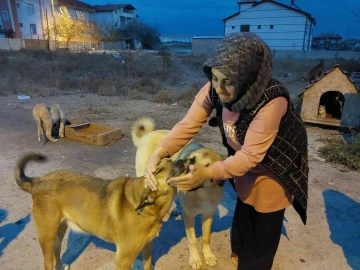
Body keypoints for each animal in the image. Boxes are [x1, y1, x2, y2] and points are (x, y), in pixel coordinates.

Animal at [14, 154, 186, 270]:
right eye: (158, 170)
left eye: (169, 161)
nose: (182, 161)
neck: (150, 209)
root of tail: (37, 182)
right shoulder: (124, 258)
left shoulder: (148, 246)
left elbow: (148, 265)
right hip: (47, 234)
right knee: (47, 262)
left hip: (59, 228)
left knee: (57, 248)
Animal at [131, 117, 224, 268]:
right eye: (190, 160)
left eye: (205, 168)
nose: (181, 166)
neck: (203, 194)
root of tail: (148, 134)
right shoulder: (189, 215)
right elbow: (192, 239)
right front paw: (195, 259)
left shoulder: (208, 213)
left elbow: (206, 237)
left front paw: (208, 255)